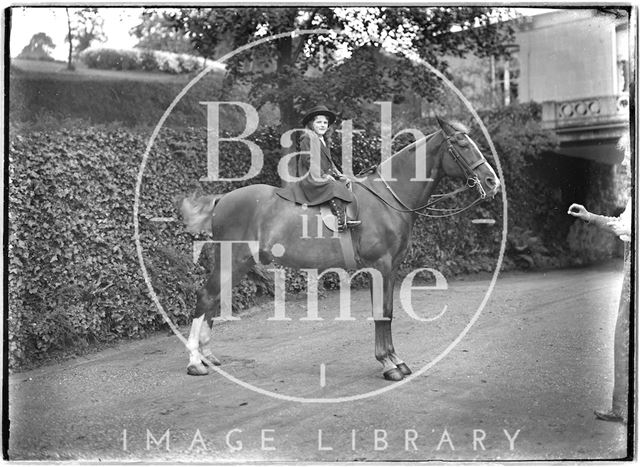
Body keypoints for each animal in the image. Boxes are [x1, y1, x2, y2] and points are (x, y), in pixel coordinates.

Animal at [179, 116, 500, 380]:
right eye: (462, 145)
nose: (492, 181)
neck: (388, 199)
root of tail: (223, 199)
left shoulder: (392, 268)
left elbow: (388, 311)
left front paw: (395, 359)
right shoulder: (380, 266)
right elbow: (381, 312)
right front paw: (388, 364)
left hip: (239, 264)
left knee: (214, 300)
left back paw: (207, 356)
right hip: (230, 261)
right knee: (206, 297)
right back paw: (195, 362)